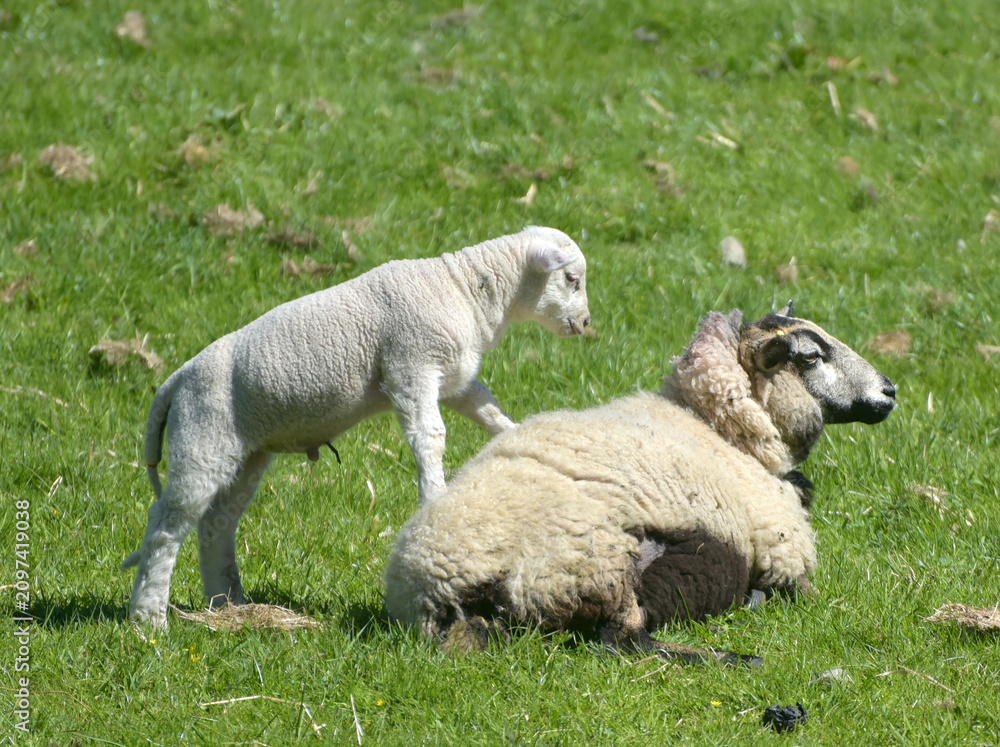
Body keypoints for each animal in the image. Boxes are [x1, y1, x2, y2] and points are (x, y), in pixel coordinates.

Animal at [122, 226, 591, 628]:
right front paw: (434, 495)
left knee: (216, 525)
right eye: (572, 278)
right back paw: (148, 617)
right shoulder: (411, 367)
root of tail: (176, 380)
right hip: (203, 439)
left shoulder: (452, 380)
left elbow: (492, 413)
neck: (465, 290)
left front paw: (521, 438)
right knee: (166, 525)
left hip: (246, 453)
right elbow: (430, 439)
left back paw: (227, 603)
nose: (588, 324)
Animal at [384, 302, 896, 663]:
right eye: (811, 357)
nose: (889, 390)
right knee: (620, 641)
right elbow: (801, 591)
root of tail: (432, 584)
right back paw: (730, 656)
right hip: (592, 564)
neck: (722, 430)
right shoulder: (782, 551)